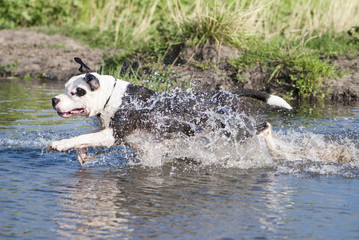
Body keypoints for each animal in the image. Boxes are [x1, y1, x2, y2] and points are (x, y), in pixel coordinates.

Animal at [50, 57, 292, 165]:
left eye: (77, 92)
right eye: (65, 87)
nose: (54, 100)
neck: (112, 96)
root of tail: (229, 94)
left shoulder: (113, 134)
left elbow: (80, 137)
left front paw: (60, 144)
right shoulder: (114, 133)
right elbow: (85, 138)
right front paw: (81, 153)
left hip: (234, 132)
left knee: (265, 127)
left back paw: (276, 152)